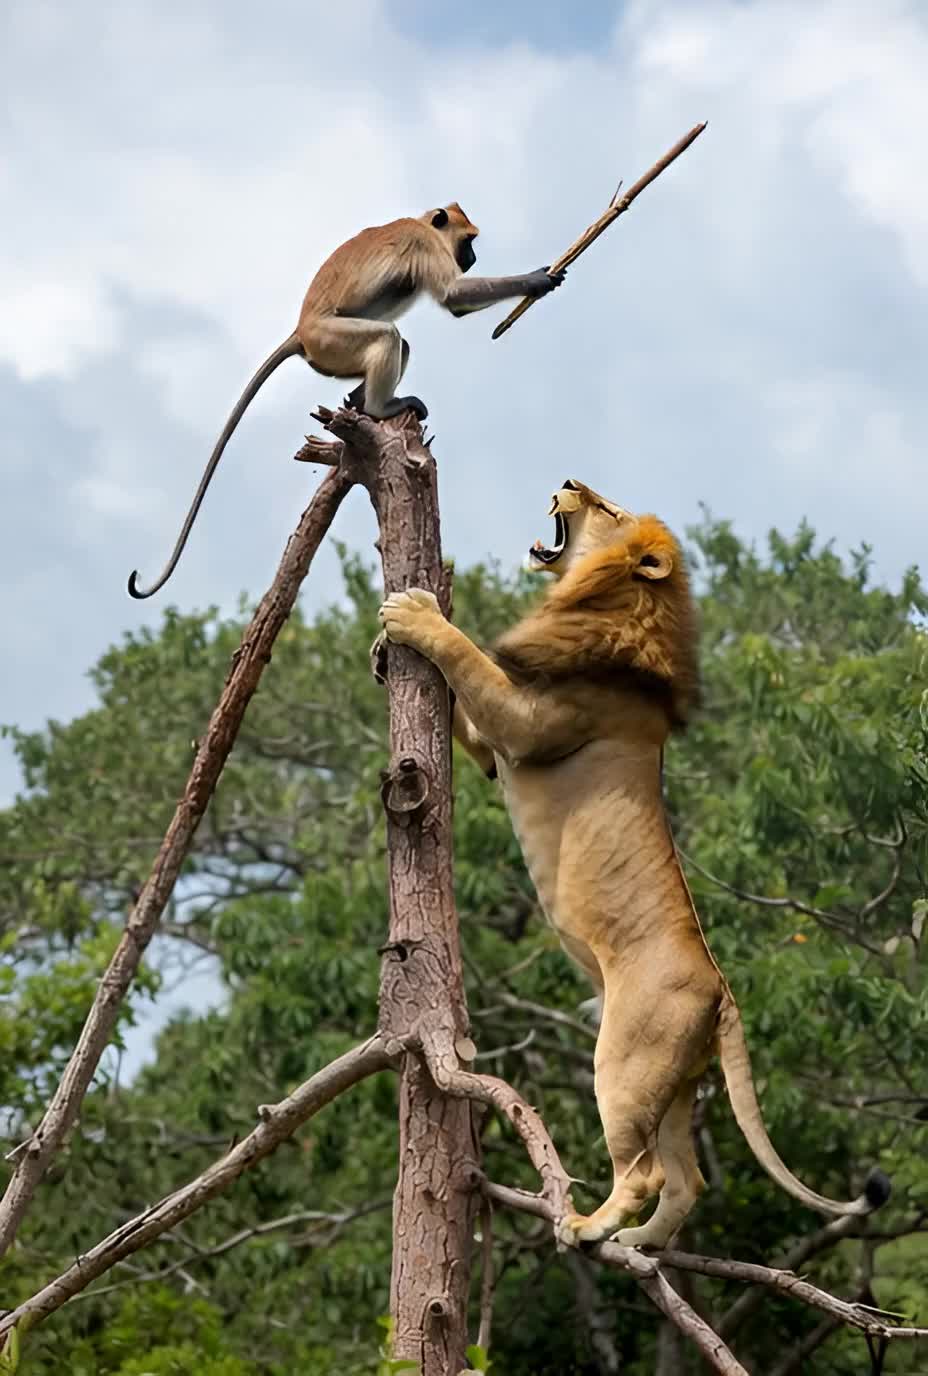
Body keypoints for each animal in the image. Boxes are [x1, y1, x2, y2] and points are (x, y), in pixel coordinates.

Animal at [128, 203, 565, 600]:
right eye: (468, 241)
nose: (472, 258)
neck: (423, 223)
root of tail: (300, 332)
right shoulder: (424, 244)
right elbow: (453, 297)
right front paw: (537, 280)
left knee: (399, 342)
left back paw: (356, 401)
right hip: (333, 339)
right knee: (389, 336)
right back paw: (377, 407)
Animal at [378, 478, 890, 1249]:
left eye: (607, 509)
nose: (567, 480)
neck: (614, 606)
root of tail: (723, 993)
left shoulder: (525, 726)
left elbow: (466, 659)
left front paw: (415, 613)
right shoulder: (493, 750)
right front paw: (388, 648)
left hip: (623, 1061)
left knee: (645, 1171)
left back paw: (587, 1227)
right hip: (671, 1082)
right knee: (687, 1179)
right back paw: (639, 1245)